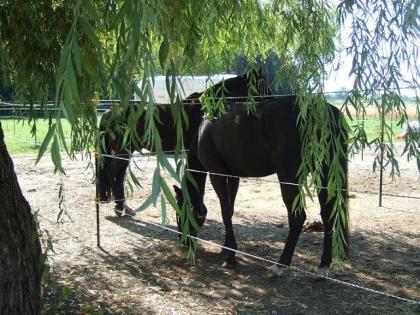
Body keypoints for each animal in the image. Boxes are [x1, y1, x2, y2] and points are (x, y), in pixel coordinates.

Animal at [97, 71, 270, 217]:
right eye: (264, 88)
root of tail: (109, 113)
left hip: (127, 151)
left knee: (119, 177)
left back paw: (125, 207)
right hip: (122, 150)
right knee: (112, 173)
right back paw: (119, 208)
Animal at [172, 95, 350, 272]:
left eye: (179, 213)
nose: (183, 240)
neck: (205, 132)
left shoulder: (217, 174)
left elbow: (224, 211)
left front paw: (230, 256)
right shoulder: (233, 176)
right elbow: (230, 209)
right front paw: (226, 247)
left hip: (289, 176)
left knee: (298, 217)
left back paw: (281, 264)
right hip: (325, 174)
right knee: (328, 213)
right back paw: (324, 263)